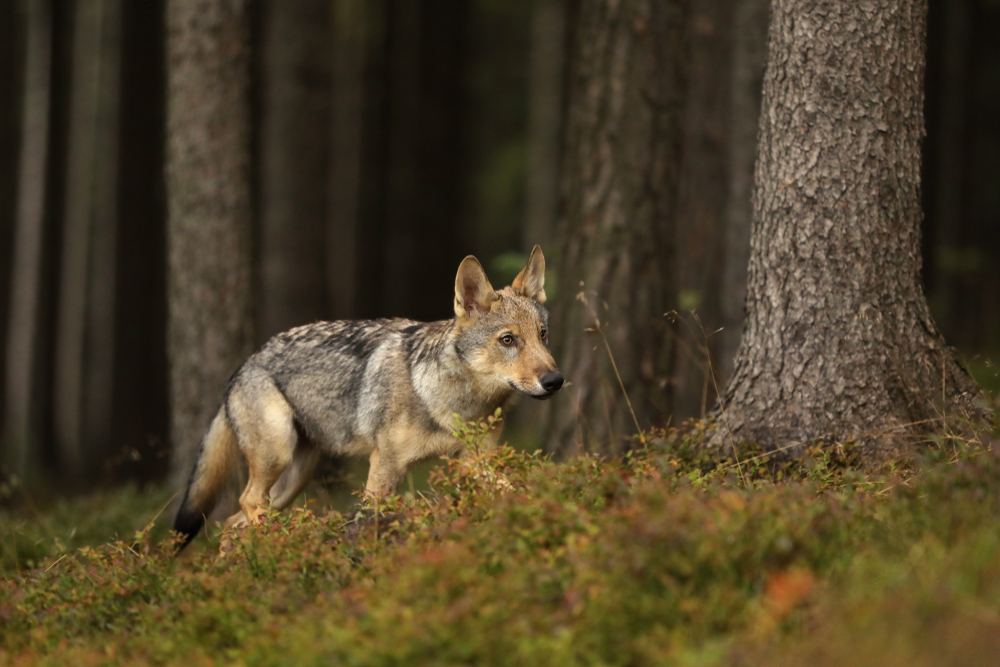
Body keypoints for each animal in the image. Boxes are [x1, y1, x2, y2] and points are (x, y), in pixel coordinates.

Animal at [173, 245, 564, 548]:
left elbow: (511, 488)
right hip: (277, 458)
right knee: (246, 504)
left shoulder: (475, 462)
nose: (555, 380)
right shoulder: (385, 466)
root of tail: (245, 364)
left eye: (543, 335)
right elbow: (374, 518)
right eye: (508, 340)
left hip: (293, 479)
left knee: (230, 524)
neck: (454, 403)